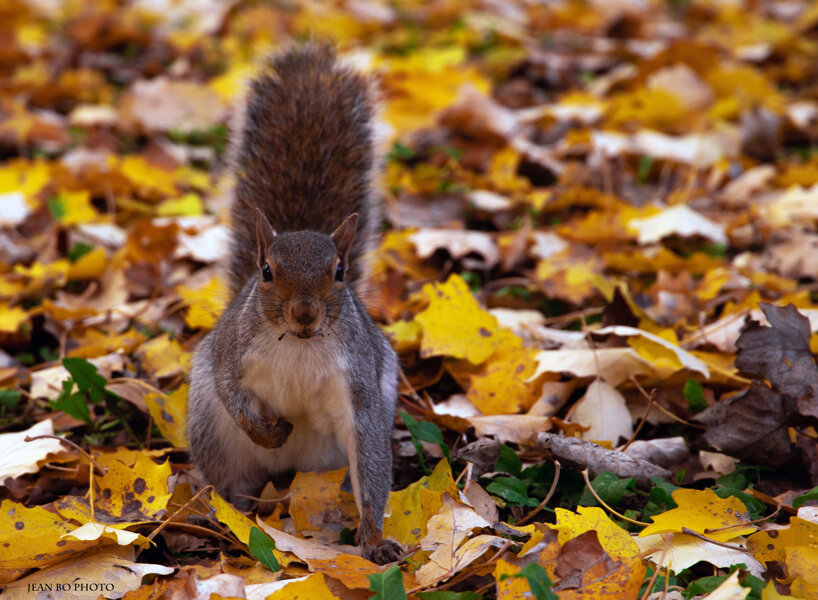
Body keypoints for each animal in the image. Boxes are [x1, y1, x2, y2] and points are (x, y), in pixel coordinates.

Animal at [187, 44, 402, 564]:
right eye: (266, 272)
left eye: (340, 272)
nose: (305, 313)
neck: (300, 345)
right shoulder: (232, 355)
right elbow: (232, 392)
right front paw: (268, 430)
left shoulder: (359, 386)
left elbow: (370, 456)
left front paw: (373, 540)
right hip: (211, 433)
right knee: (233, 484)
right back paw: (227, 511)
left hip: (330, 461)